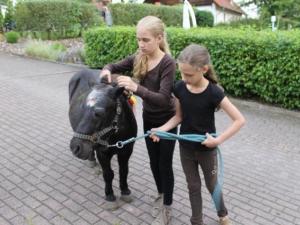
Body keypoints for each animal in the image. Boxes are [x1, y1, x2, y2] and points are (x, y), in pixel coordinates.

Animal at [68, 69, 137, 207]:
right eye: (82, 107)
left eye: (99, 113)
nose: (75, 147)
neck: (117, 135)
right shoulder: (102, 153)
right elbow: (108, 174)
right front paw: (109, 195)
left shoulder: (126, 151)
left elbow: (124, 171)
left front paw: (125, 191)